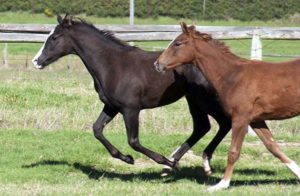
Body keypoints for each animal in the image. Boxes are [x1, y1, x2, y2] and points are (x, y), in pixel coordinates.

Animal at [31, 15, 233, 174]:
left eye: (55, 37)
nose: (36, 61)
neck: (112, 65)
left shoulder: (131, 109)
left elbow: (133, 141)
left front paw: (159, 161)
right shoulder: (112, 106)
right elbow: (97, 129)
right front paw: (127, 158)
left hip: (205, 99)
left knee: (223, 122)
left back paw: (191, 163)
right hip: (194, 100)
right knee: (202, 127)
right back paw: (175, 162)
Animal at [155, 22, 300, 191]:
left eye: (178, 43)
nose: (157, 64)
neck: (232, 76)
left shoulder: (240, 119)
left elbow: (233, 152)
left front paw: (221, 184)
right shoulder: (255, 120)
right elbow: (273, 147)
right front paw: (298, 174)